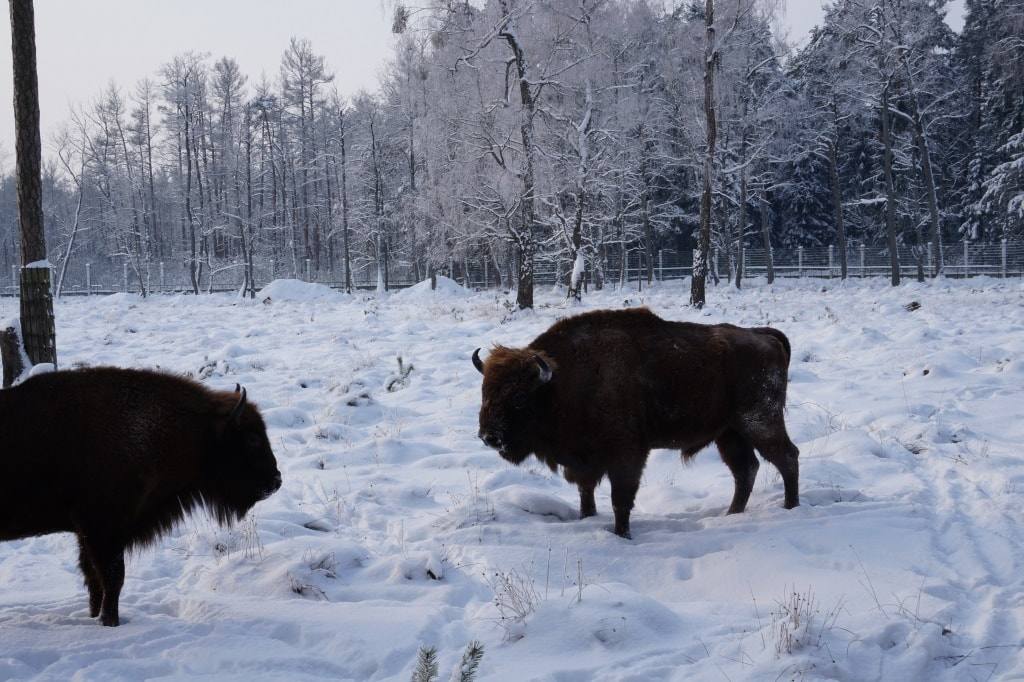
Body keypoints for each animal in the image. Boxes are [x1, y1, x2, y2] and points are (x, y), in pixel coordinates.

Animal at [0, 366, 282, 622]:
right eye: (252, 438)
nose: (276, 481)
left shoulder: (87, 534)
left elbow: (94, 580)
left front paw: (95, 616)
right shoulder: (103, 530)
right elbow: (113, 579)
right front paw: (110, 621)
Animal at [473, 307, 798, 536]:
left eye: (519, 397)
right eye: (485, 392)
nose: (489, 437)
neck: (560, 384)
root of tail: (765, 337)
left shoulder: (626, 454)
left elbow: (621, 498)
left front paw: (622, 535)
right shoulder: (584, 462)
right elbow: (586, 494)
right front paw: (588, 518)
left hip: (760, 423)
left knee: (786, 458)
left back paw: (790, 507)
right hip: (729, 433)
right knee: (746, 469)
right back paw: (732, 514)